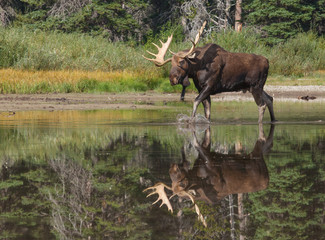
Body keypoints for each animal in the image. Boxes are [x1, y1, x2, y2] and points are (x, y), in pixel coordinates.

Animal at [143, 21, 274, 123]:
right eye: (171, 64)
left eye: (181, 62)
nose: (172, 78)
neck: (196, 69)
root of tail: (268, 62)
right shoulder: (201, 88)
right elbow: (207, 112)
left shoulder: (210, 86)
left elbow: (196, 101)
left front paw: (191, 120)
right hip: (256, 86)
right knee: (270, 99)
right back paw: (273, 120)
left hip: (255, 86)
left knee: (262, 105)